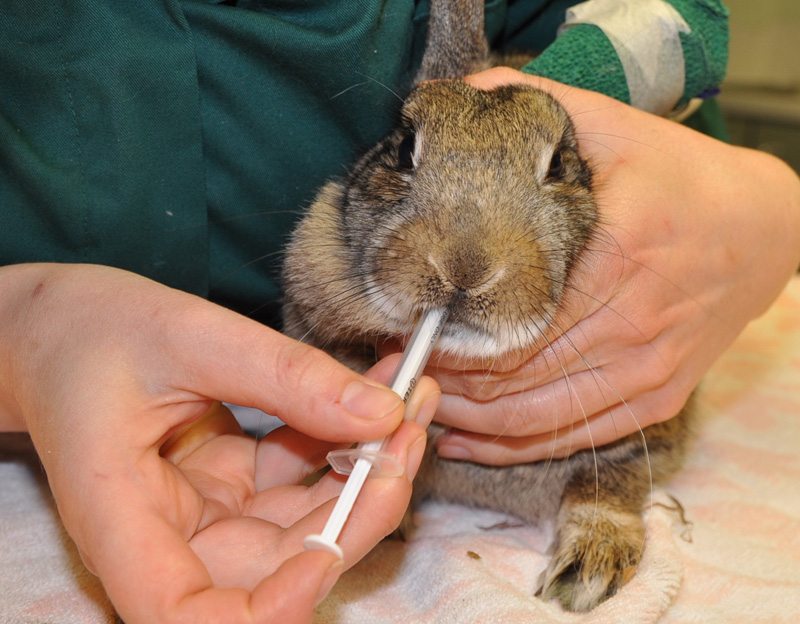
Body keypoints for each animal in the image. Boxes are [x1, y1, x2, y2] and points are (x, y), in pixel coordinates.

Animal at [282, 0, 692, 616]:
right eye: (403, 147)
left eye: (558, 164)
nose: (463, 268)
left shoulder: (642, 432)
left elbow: (610, 486)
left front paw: (585, 573)